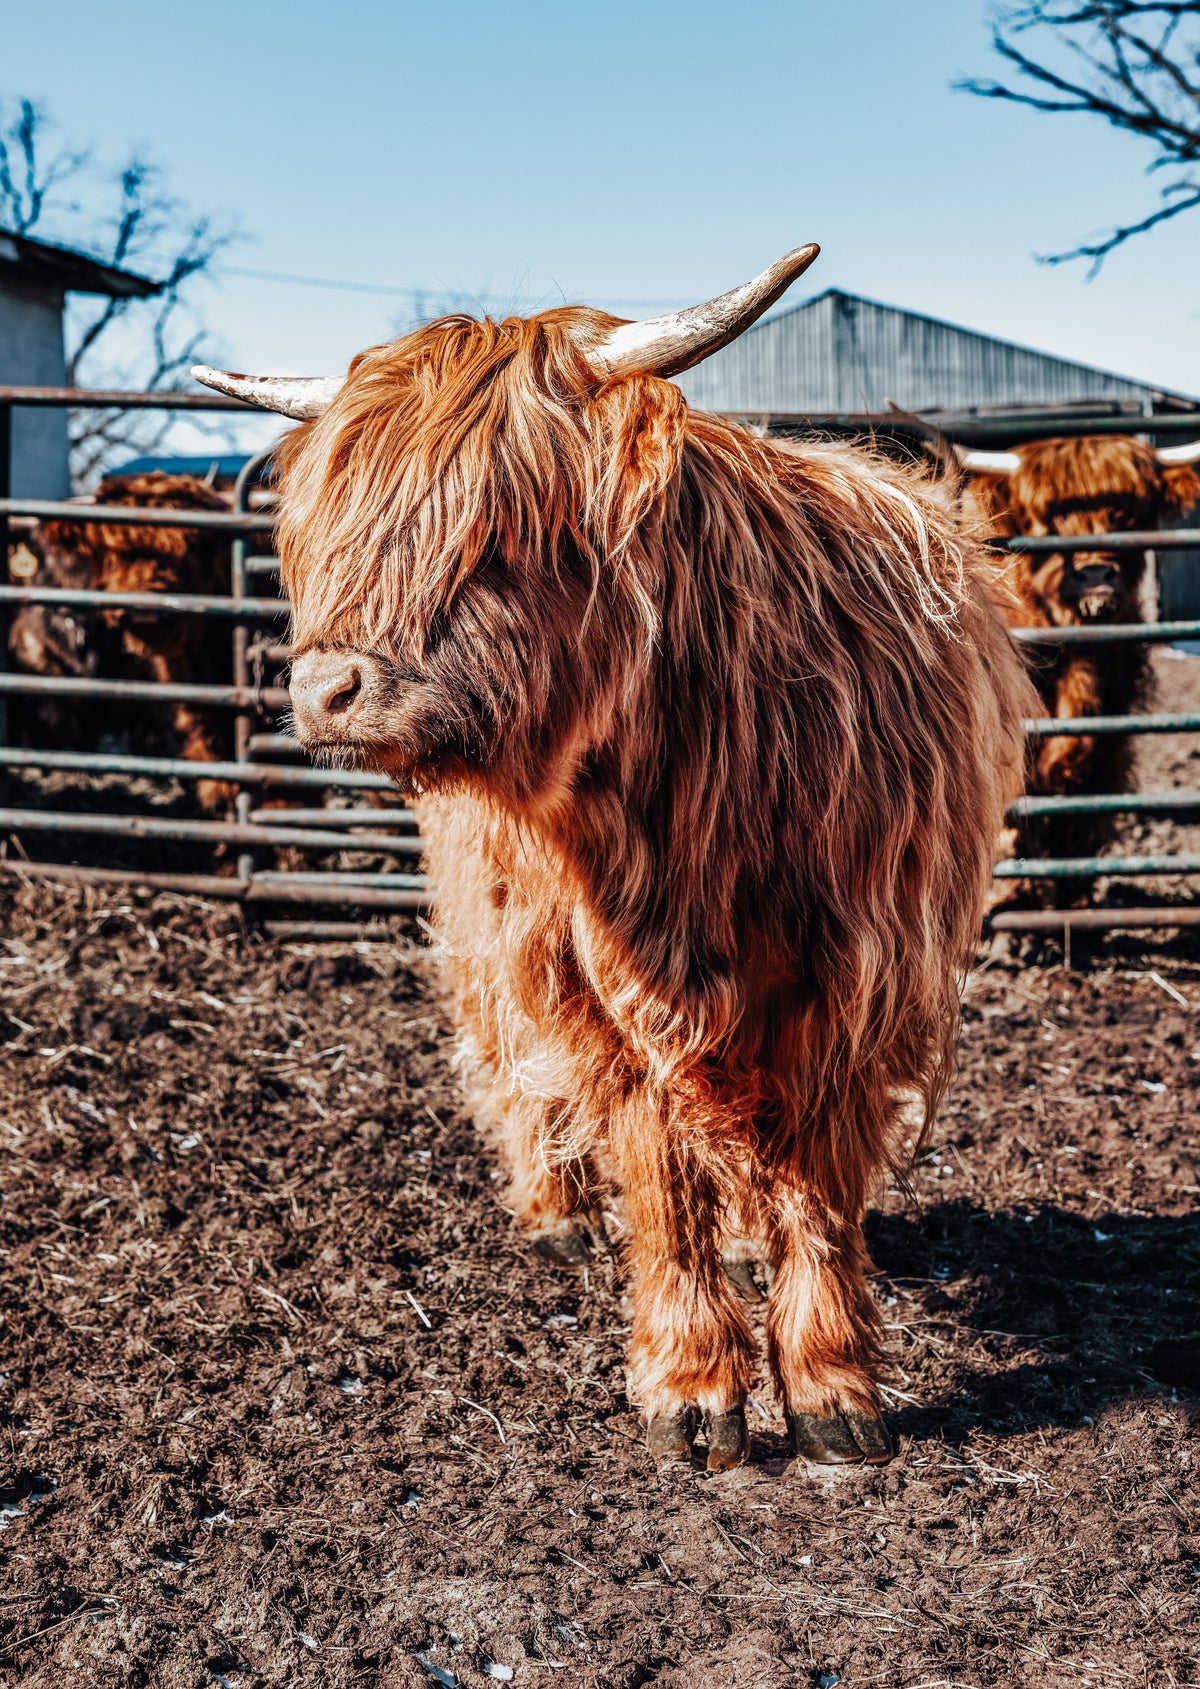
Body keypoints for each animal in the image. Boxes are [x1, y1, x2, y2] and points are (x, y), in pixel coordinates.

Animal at [193, 244, 1033, 1471]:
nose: (324, 688)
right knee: (508, 1051)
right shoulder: (601, 985)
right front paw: (694, 1389)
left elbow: (819, 1182)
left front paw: (832, 1385)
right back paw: (556, 1211)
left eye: (497, 532)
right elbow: (664, 1176)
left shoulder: (862, 972)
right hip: (494, 922)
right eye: (324, 532)